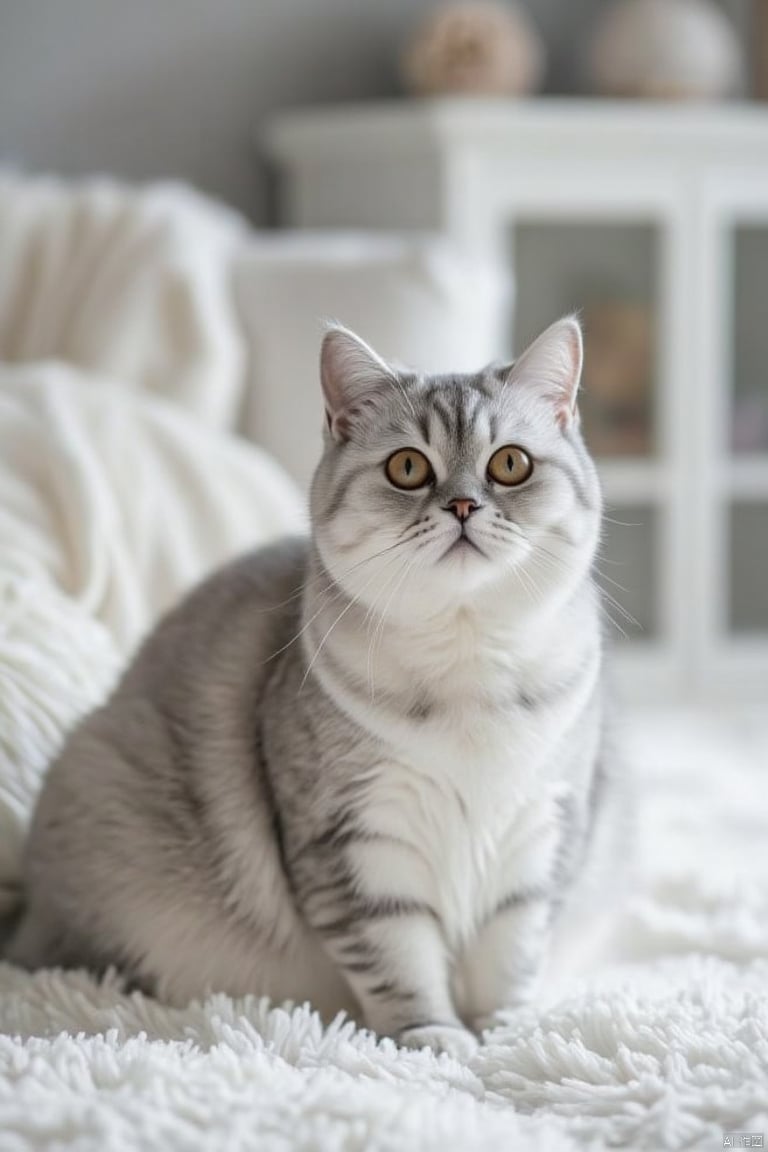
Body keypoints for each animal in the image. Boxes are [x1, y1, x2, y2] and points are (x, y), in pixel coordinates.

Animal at [7, 315, 630, 1059]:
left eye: (511, 464)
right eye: (408, 467)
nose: (462, 504)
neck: (467, 664)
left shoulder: (543, 830)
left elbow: (509, 955)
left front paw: (507, 1032)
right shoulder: (355, 838)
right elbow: (399, 956)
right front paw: (435, 1038)